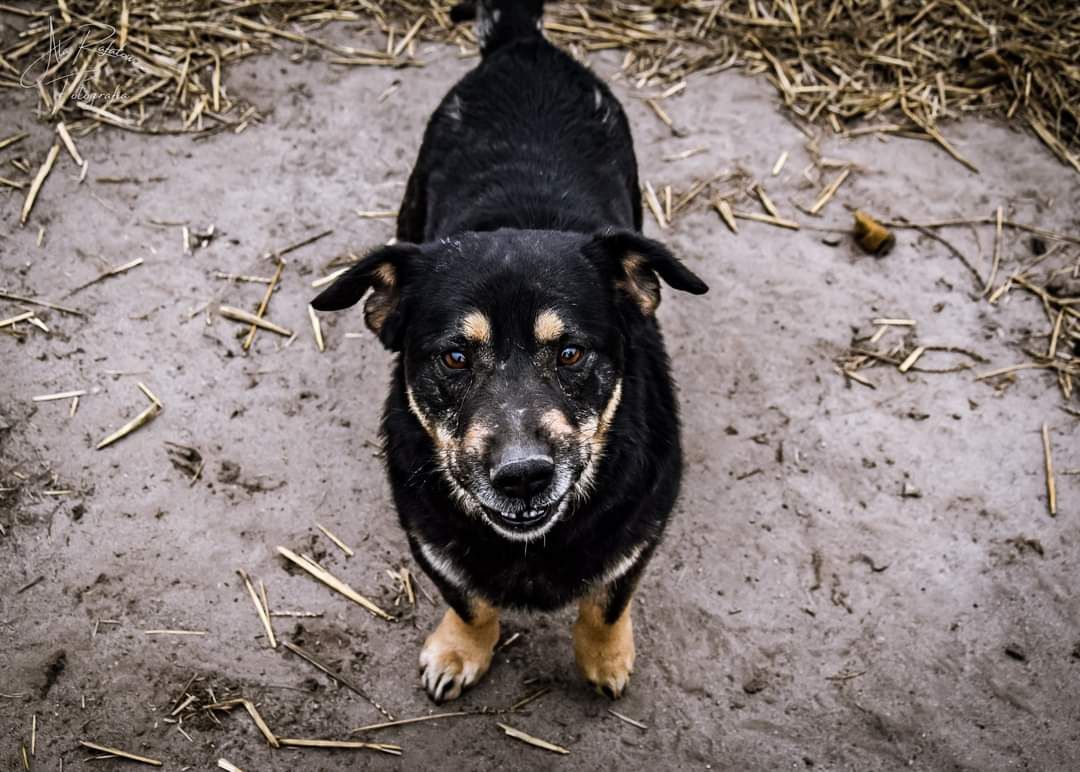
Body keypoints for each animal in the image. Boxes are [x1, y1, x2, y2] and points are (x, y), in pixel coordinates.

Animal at [311, 0, 708, 703]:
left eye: (571, 354)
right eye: (455, 358)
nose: (522, 476)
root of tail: (522, 43)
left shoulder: (641, 532)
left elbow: (606, 602)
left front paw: (604, 657)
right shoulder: (430, 539)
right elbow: (470, 601)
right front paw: (459, 651)